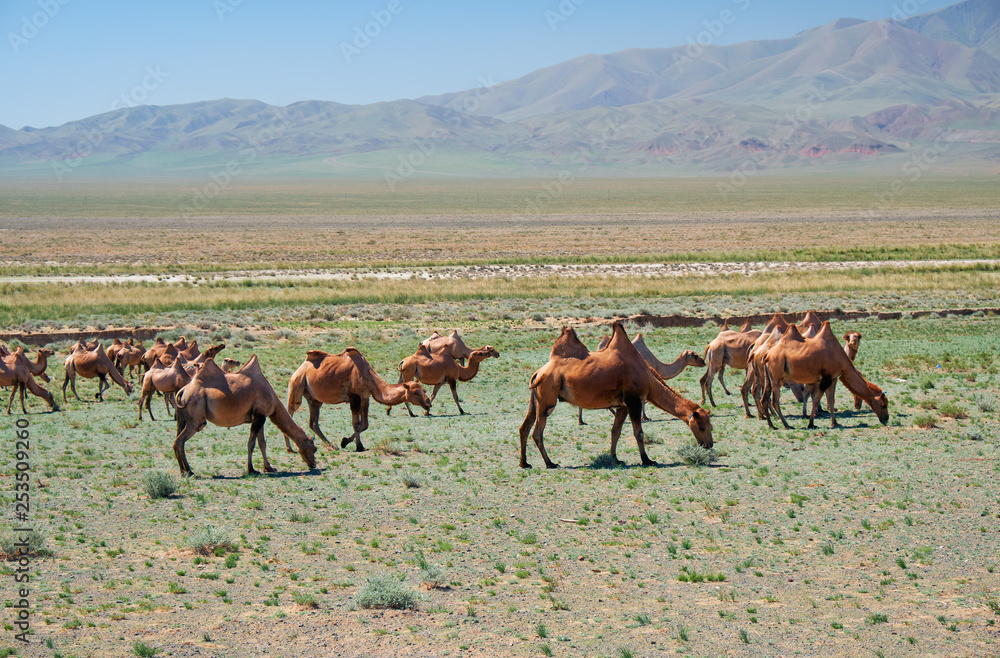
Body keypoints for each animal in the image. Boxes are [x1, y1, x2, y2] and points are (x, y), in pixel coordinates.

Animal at [172, 355, 317, 476]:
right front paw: (251, 469)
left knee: (178, 441)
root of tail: (183, 390)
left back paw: (184, 470)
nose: (314, 464)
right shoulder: (259, 416)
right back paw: (188, 471)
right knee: (180, 441)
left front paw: (269, 467)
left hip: (182, 418)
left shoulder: (260, 416)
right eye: (314, 449)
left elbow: (262, 443)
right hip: (196, 420)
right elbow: (251, 443)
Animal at [287, 348, 432, 452]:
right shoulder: (354, 398)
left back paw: (332, 445)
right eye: (415, 392)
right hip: (297, 385)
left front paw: (344, 441)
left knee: (313, 423)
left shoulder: (365, 398)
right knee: (290, 412)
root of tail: (300, 367)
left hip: (313, 399)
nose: (428, 403)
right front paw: (359, 446)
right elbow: (356, 423)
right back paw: (290, 448)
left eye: (424, 390)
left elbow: (365, 424)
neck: (369, 377)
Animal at [519, 323, 712, 469]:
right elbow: (639, 433)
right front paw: (647, 460)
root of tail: (539, 371)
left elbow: (615, 431)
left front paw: (615, 458)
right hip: (547, 397)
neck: (649, 377)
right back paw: (550, 463)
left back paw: (524, 463)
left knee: (524, 428)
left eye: (711, 427)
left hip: (536, 398)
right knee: (537, 432)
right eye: (701, 427)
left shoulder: (623, 406)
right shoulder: (633, 400)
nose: (709, 445)